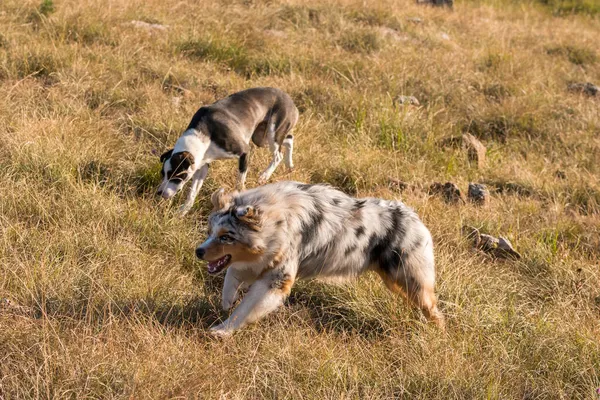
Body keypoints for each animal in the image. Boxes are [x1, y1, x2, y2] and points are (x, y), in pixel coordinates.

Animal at [157, 86, 298, 214]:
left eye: (176, 174)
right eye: (162, 174)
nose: (159, 192)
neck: (204, 133)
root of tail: (290, 100)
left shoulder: (244, 152)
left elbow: (239, 183)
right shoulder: (202, 166)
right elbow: (192, 193)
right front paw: (182, 212)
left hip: (272, 134)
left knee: (278, 154)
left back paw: (265, 175)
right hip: (261, 139)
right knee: (289, 138)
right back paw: (289, 164)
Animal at [195, 183, 442, 336]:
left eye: (226, 236)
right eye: (210, 232)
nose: (198, 251)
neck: (277, 220)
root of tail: (414, 217)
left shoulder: (277, 279)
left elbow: (246, 308)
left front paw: (222, 330)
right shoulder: (262, 262)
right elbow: (232, 273)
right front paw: (227, 300)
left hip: (412, 279)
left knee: (433, 309)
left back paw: (437, 333)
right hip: (395, 281)